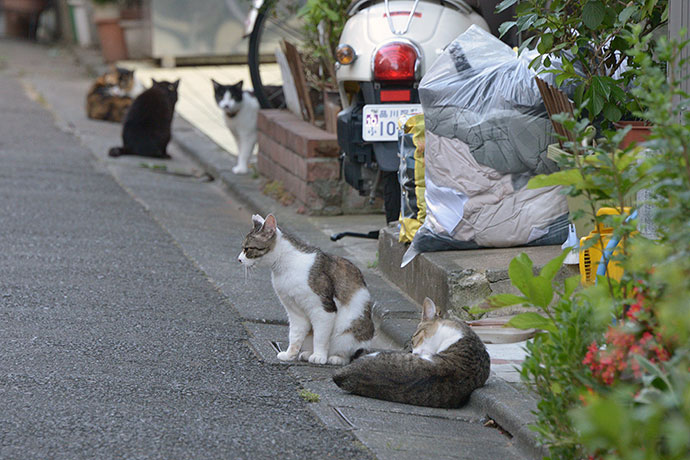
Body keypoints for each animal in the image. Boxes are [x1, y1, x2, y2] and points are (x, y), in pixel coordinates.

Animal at [238, 214, 376, 364]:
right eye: (243, 248)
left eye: (247, 249)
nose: (239, 259)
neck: (285, 265)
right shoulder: (294, 311)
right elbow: (295, 335)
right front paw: (289, 354)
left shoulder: (323, 309)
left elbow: (320, 337)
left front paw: (319, 356)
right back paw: (307, 353)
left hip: (348, 332)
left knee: (348, 355)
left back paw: (335, 358)